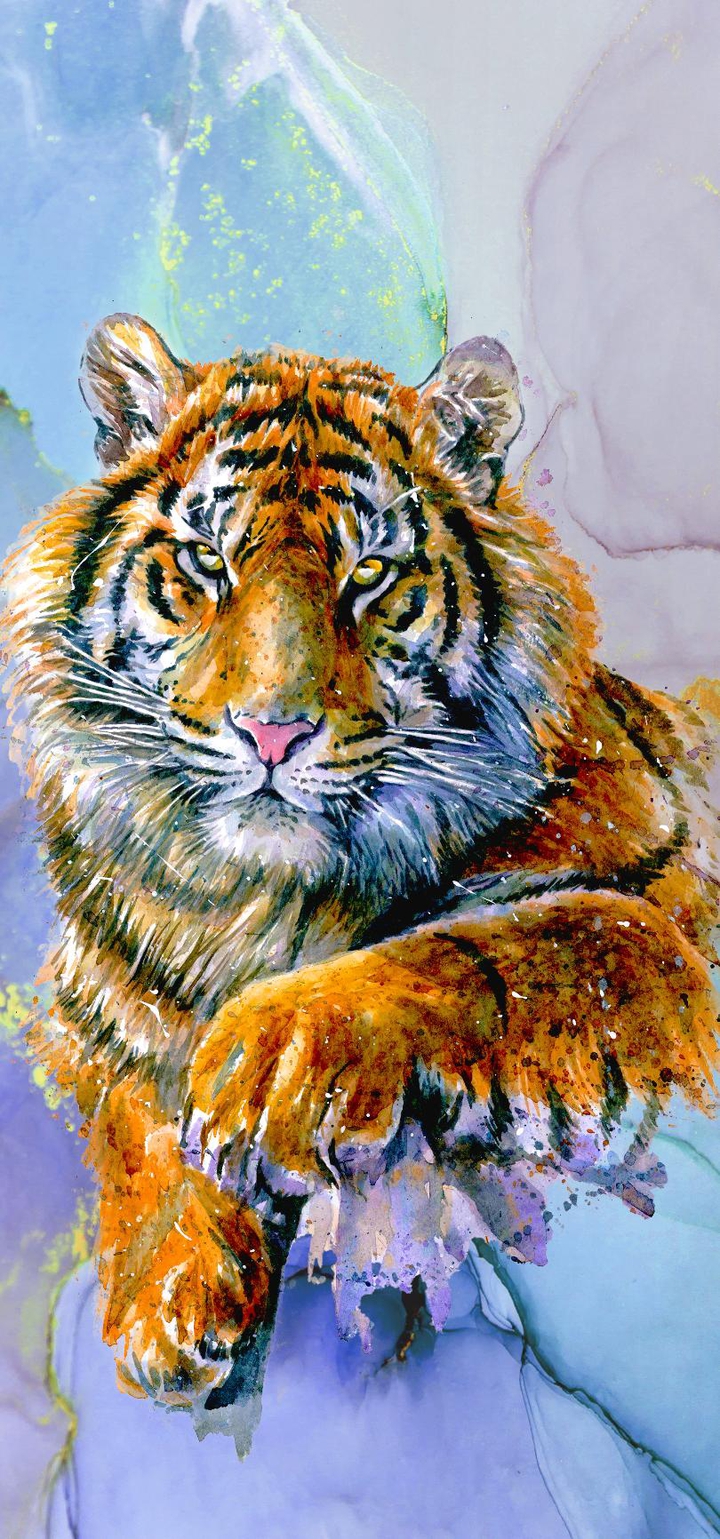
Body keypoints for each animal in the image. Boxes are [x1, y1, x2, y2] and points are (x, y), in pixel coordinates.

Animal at [2, 313, 719, 1421]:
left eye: (370, 574)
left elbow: (475, 948)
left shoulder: (661, 927)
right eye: (204, 561)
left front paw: (267, 1059)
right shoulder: (92, 1008)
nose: (271, 732)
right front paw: (170, 1296)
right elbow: (133, 1109)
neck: (255, 901)